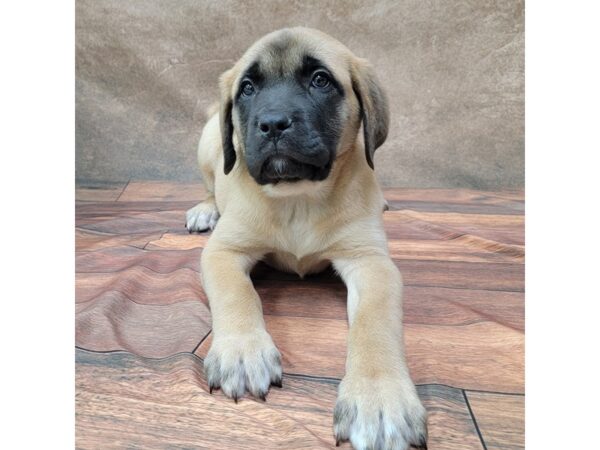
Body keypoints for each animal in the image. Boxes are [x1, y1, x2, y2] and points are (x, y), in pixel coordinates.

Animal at [186, 27, 426, 446]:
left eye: (320, 80)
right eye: (247, 88)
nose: (272, 123)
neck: (297, 197)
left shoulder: (370, 262)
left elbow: (375, 322)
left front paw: (380, 398)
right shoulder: (224, 251)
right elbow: (237, 292)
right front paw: (242, 352)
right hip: (208, 146)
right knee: (211, 184)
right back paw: (205, 208)